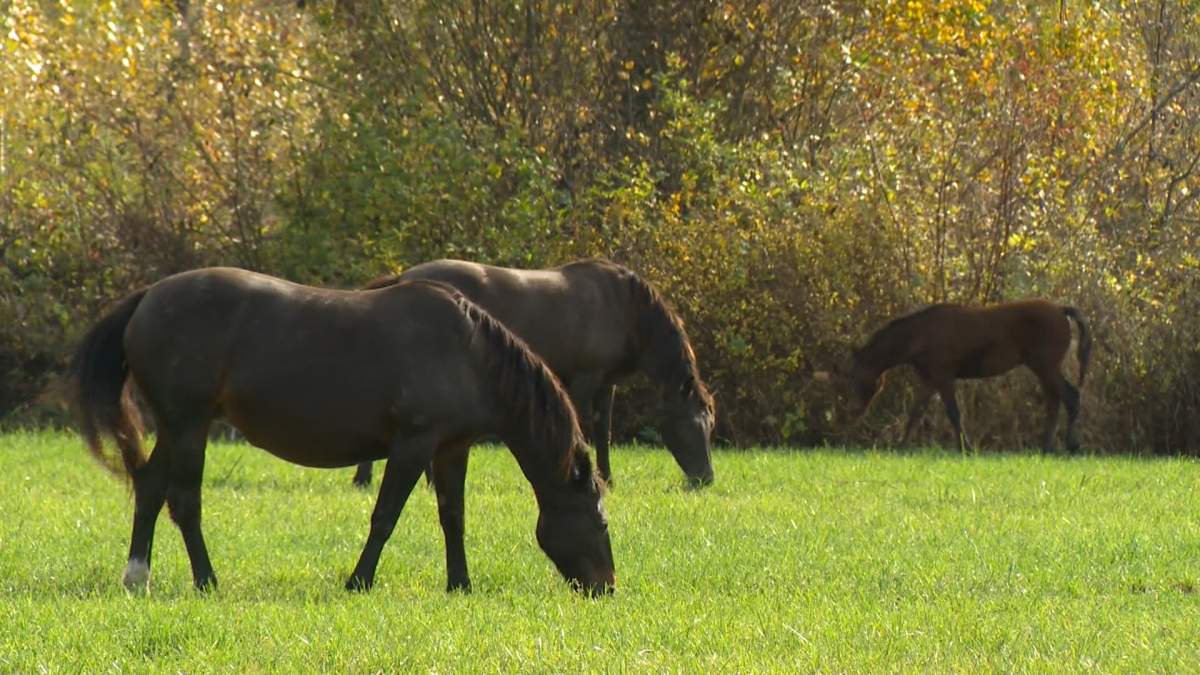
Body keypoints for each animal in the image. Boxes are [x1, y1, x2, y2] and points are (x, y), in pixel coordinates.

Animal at [69, 267, 614, 595]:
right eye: (601, 522)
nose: (606, 586)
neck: (469, 353)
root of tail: (148, 298)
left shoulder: (451, 448)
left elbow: (453, 517)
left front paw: (460, 583)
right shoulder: (413, 444)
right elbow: (385, 516)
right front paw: (359, 580)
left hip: (178, 425)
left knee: (148, 487)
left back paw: (137, 575)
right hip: (188, 423)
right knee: (183, 501)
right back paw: (206, 580)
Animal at [351, 258, 716, 489]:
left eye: (710, 427)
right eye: (690, 428)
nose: (706, 479)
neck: (625, 308)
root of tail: (404, 276)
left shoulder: (606, 383)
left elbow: (603, 429)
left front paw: (608, 477)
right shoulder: (584, 379)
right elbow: (585, 425)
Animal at [842, 300, 1091, 453]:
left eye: (855, 377)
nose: (851, 412)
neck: (921, 335)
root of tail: (1060, 309)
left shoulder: (943, 377)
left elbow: (953, 413)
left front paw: (966, 448)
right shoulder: (929, 379)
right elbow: (915, 412)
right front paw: (901, 445)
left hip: (1046, 366)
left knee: (1070, 396)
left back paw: (1070, 444)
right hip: (1042, 369)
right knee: (1054, 401)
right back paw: (1046, 446)